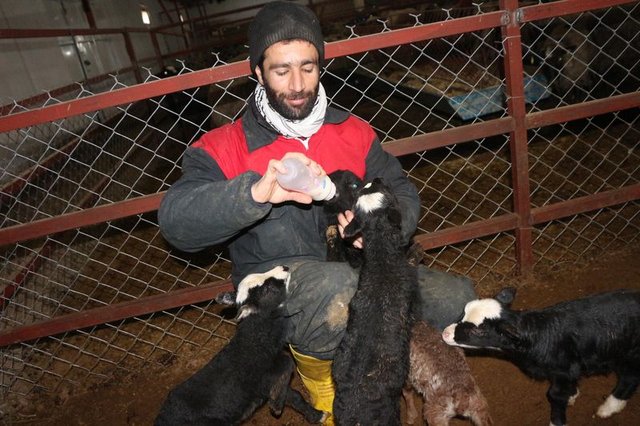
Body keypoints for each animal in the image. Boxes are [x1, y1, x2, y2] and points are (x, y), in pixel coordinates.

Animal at [154, 266, 327, 426]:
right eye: (267, 289)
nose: (284, 267)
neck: (254, 341)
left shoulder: (265, 384)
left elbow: (294, 396)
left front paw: (317, 415)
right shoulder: (264, 375)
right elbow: (287, 362)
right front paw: (277, 406)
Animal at [442, 287, 640, 426]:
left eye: (478, 331)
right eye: (463, 312)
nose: (445, 334)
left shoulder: (562, 370)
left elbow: (555, 396)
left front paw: (557, 421)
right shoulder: (569, 369)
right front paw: (572, 395)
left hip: (631, 354)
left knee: (629, 377)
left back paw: (608, 408)